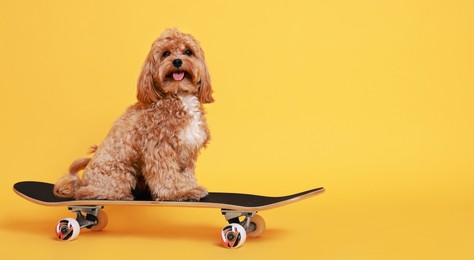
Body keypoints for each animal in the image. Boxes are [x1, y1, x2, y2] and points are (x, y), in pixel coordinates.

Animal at [53, 29, 213, 202]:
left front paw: (190, 187)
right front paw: (178, 192)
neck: (179, 95)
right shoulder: (158, 148)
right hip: (119, 173)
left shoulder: (188, 150)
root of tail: (82, 182)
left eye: (188, 52)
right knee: (90, 192)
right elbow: (167, 174)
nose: (177, 61)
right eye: (166, 53)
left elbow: (186, 173)